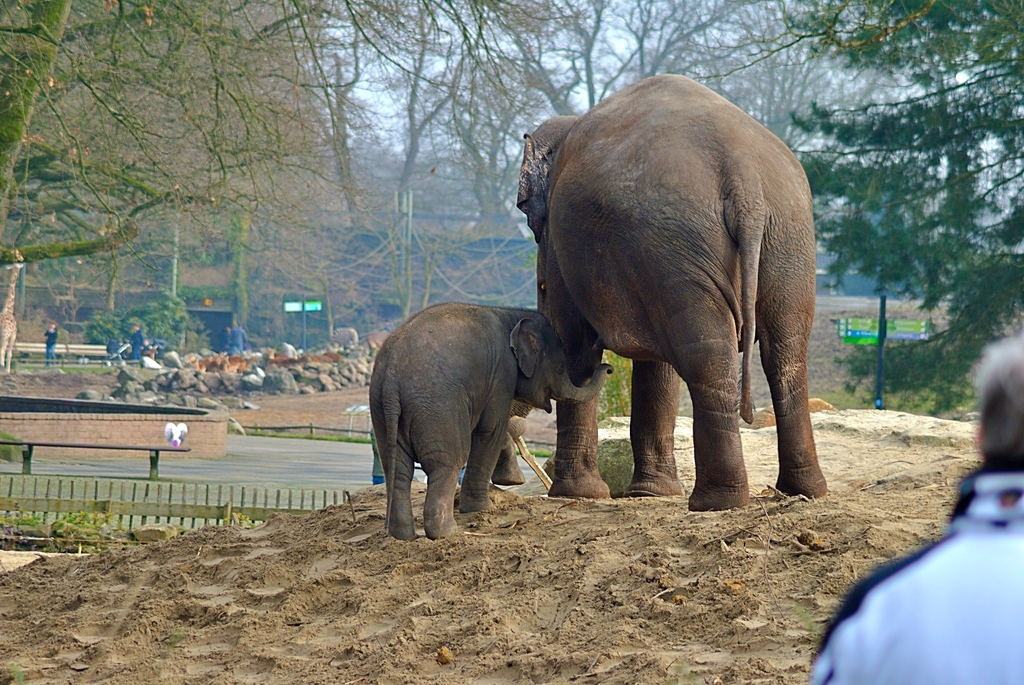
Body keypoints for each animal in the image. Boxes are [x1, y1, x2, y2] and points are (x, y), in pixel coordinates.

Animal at [370, 302, 611, 540]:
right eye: (560, 369)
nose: (609, 367)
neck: (509, 314)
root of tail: (391, 381)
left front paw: (509, 481)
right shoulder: (502, 374)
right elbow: (491, 429)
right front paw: (484, 507)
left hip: (382, 411)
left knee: (398, 470)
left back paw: (403, 536)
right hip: (437, 408)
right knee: (447, 463)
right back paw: (447, 532)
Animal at [517, 74, 827, 511]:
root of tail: (743, 173)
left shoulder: (566, 253)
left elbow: (576, 346)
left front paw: (579, 496)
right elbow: (655, 361)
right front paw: (649, 494)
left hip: (680, 237)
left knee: (707, 356)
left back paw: (715, 502)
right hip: (785, 236)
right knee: (784, 352)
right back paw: (802, 491)